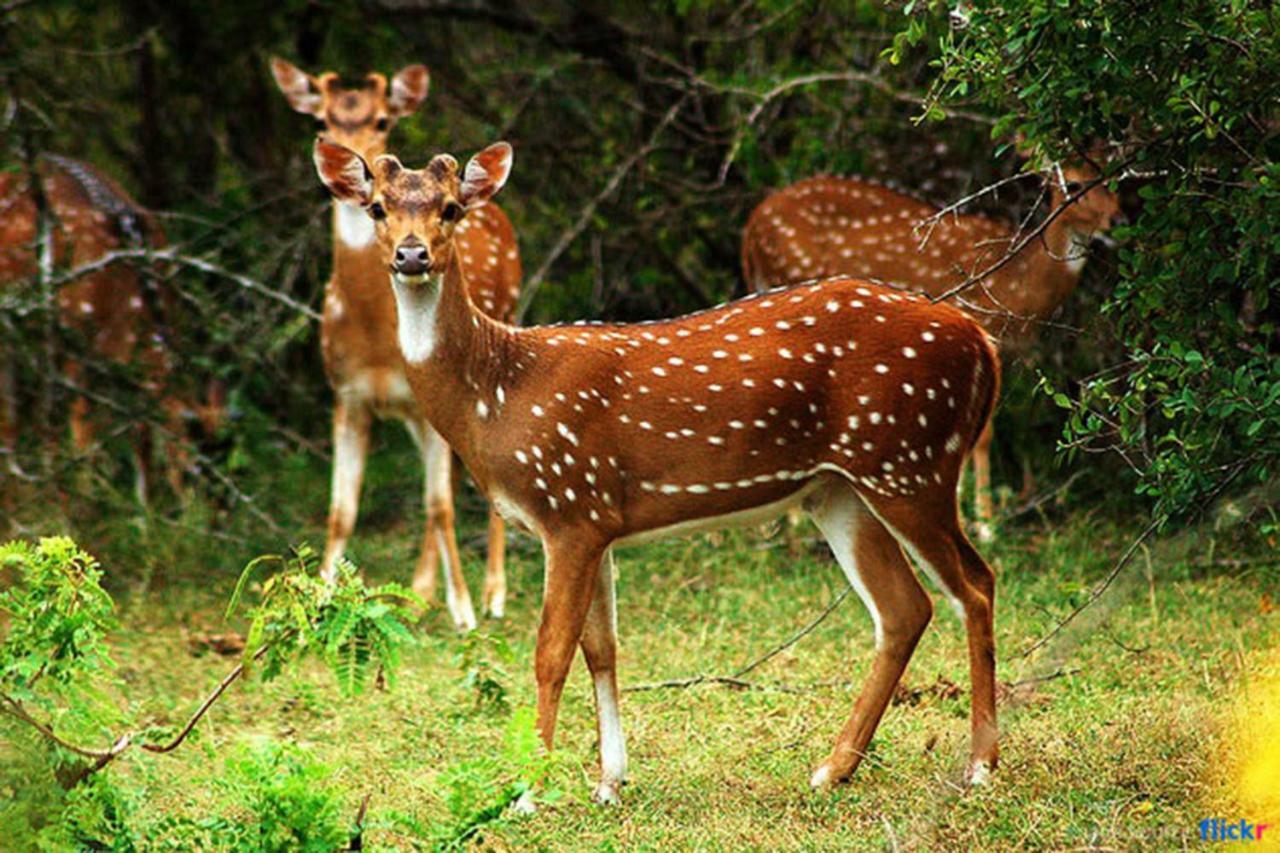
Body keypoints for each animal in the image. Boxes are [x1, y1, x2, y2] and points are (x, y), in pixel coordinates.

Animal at [272, 56, 522, 622]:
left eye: (383, 120)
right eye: (321, 121)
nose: (356, 166)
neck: (375, 340)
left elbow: (439, 505)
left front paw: (464, 611)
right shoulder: (346, 395)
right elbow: (342, 511)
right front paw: (322, 596)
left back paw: (492, 593)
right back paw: (421, 592)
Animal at [314, 137, 1003, 799]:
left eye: (452, 208)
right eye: (377, 208)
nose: (411, 256)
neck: (496, 393)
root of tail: (984, 344)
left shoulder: (568, 506)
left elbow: (551, 653)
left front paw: (527, 790)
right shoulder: (598, 519)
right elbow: (603, 648)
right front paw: (610, 781)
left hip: (910, 460)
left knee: (975, 583)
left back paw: (979, 766)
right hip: (841, 488)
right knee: (904, 609)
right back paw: (833, 769)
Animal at [742, 163, 1121, 535]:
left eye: (1110, 175)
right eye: (1073, 184)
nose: (1116, 219)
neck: (1021, 287)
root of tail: (752, 225)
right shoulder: (976, 320)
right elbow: (983, 436)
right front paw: (984, 523)